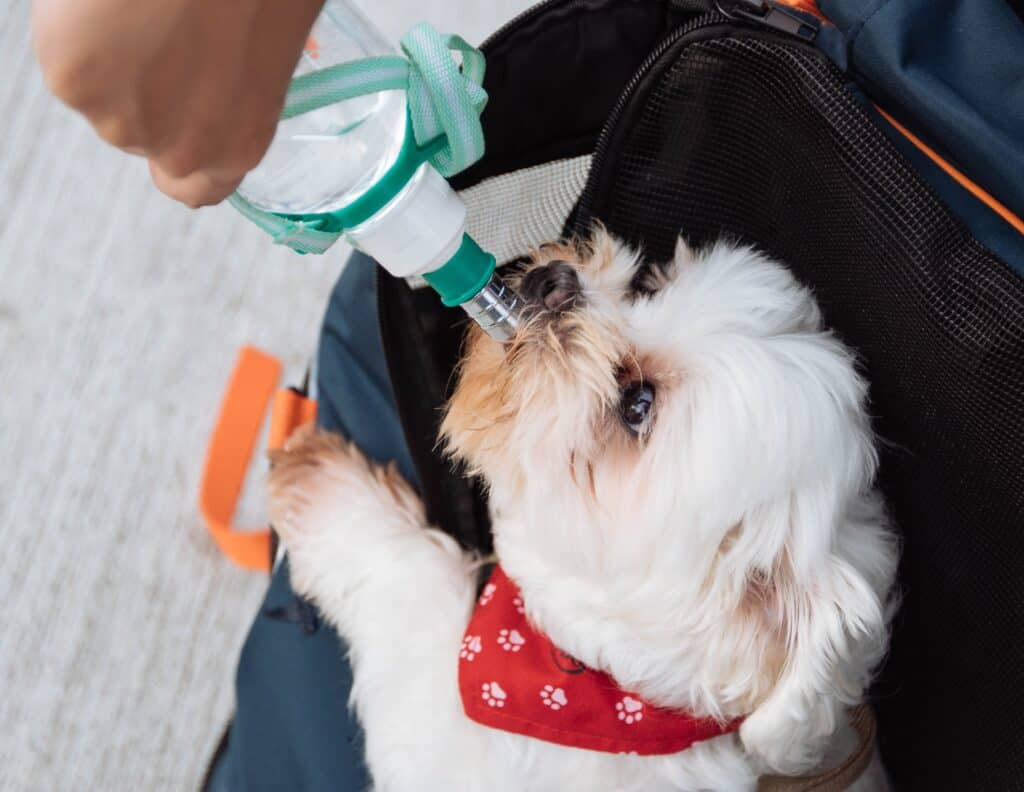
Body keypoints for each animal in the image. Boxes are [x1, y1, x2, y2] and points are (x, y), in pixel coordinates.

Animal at [270, 230, 897, 790]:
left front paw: (323, 485)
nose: (555, 283)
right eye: (649, 287)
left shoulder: (443, 743)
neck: (596, 691)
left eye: (637, 405)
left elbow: (412, 591)